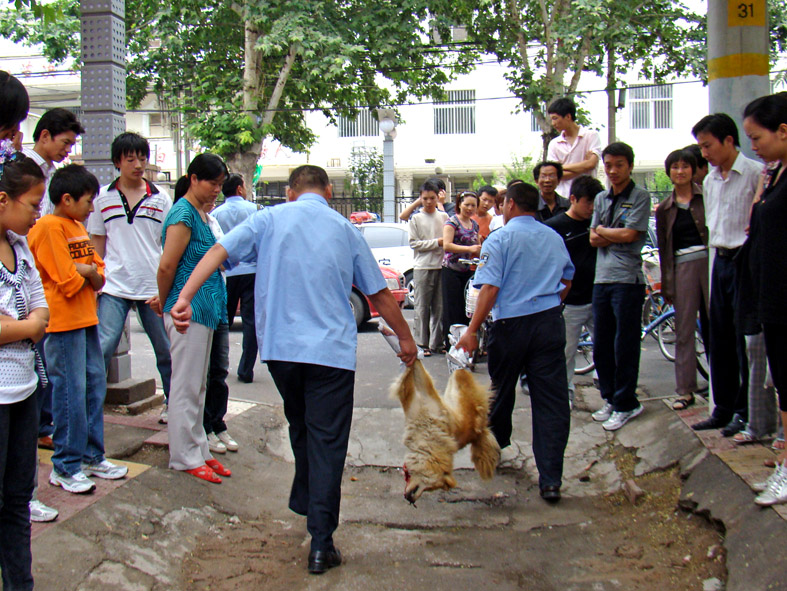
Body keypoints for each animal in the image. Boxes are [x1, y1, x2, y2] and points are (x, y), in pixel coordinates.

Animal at [392, 359, 500, 504]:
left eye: (429, 489)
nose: (411, 500)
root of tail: (481, 429)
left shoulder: (421, 398)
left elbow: (410, 380)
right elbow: (411, 373)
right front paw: (412, 360)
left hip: (457, 385)